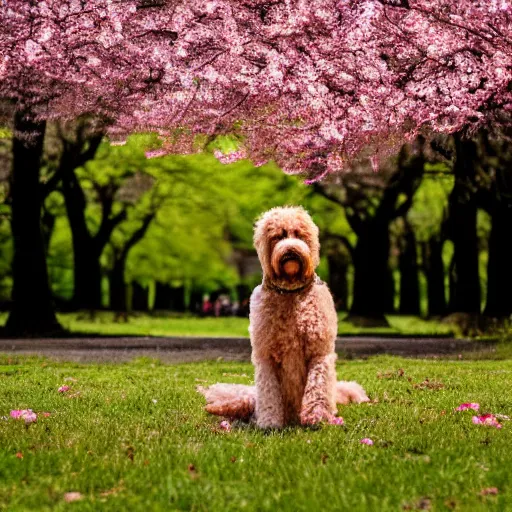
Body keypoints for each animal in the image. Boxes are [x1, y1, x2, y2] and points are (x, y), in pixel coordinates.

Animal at [198, 205, 370, 428]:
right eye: (278, 236)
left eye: (298, 234)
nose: (290, 249)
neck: (290, 292)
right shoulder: (266, 356)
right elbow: (269, 391)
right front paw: (270, 421)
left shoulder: (319, 351)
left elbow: (317, 385)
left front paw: (316, 416)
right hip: (250, 399)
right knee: (242, 402)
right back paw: (220, 408)